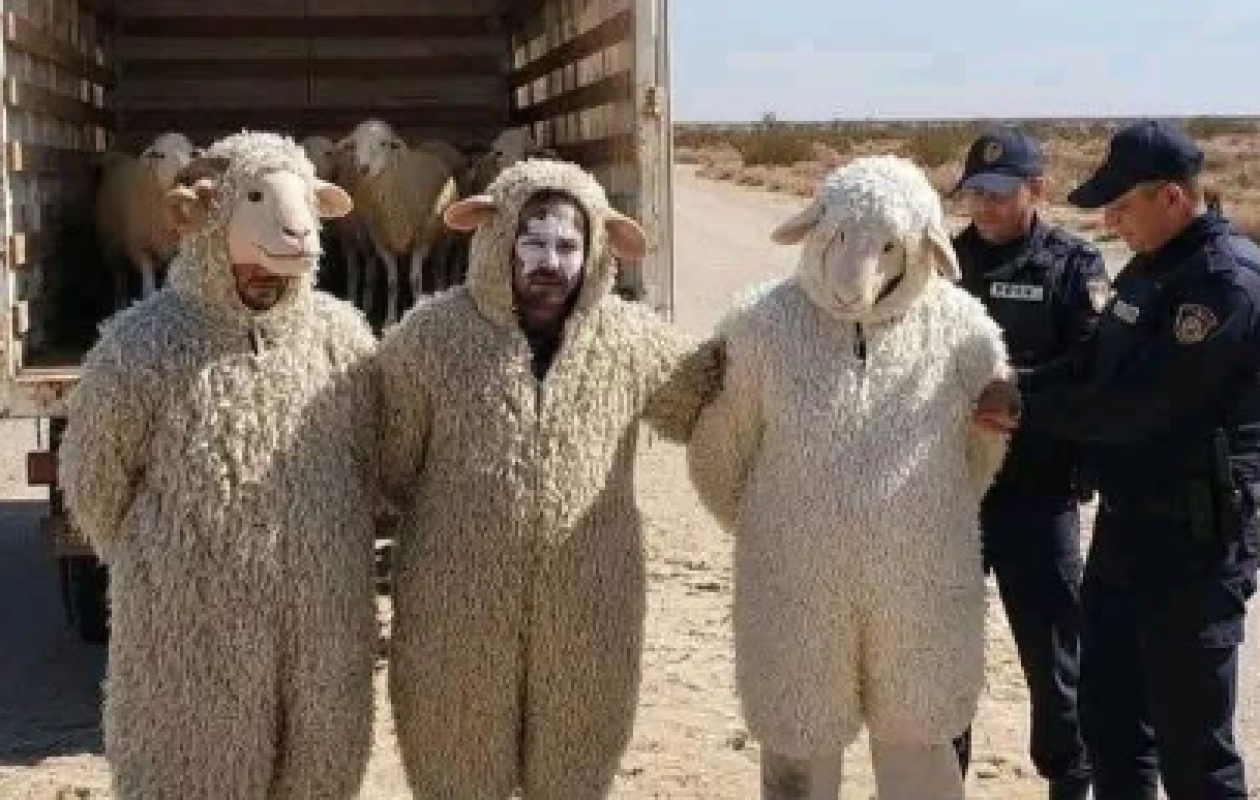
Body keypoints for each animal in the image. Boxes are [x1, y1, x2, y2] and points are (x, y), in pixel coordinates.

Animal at [94, 132, 200, 307]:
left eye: (191, 154)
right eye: (160, 155)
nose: (185, 176)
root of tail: (118, 159)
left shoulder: (176, 250)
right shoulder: (140, 248)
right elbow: (148, 289)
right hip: (110, 246)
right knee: (119, 276)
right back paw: (120, 304)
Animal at [341, 119, 459, 325]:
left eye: (384, 143)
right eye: (354, 145)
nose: (364, 168)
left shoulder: (422, 240)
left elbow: (416, 280)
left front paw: (416, 310)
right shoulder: (382, 242)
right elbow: (392, 282)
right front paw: (389, 321)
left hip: (445, 237)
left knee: (439, 266)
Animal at [687, 155, 1011, 800]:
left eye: (890, 245)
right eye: (835, 232)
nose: (846, 292)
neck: (860, 335)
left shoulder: (984, 357)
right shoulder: (739, 368)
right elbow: (720, 450)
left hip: (923, 623)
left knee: (914, 732)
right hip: (798, 632)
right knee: (804, 737)